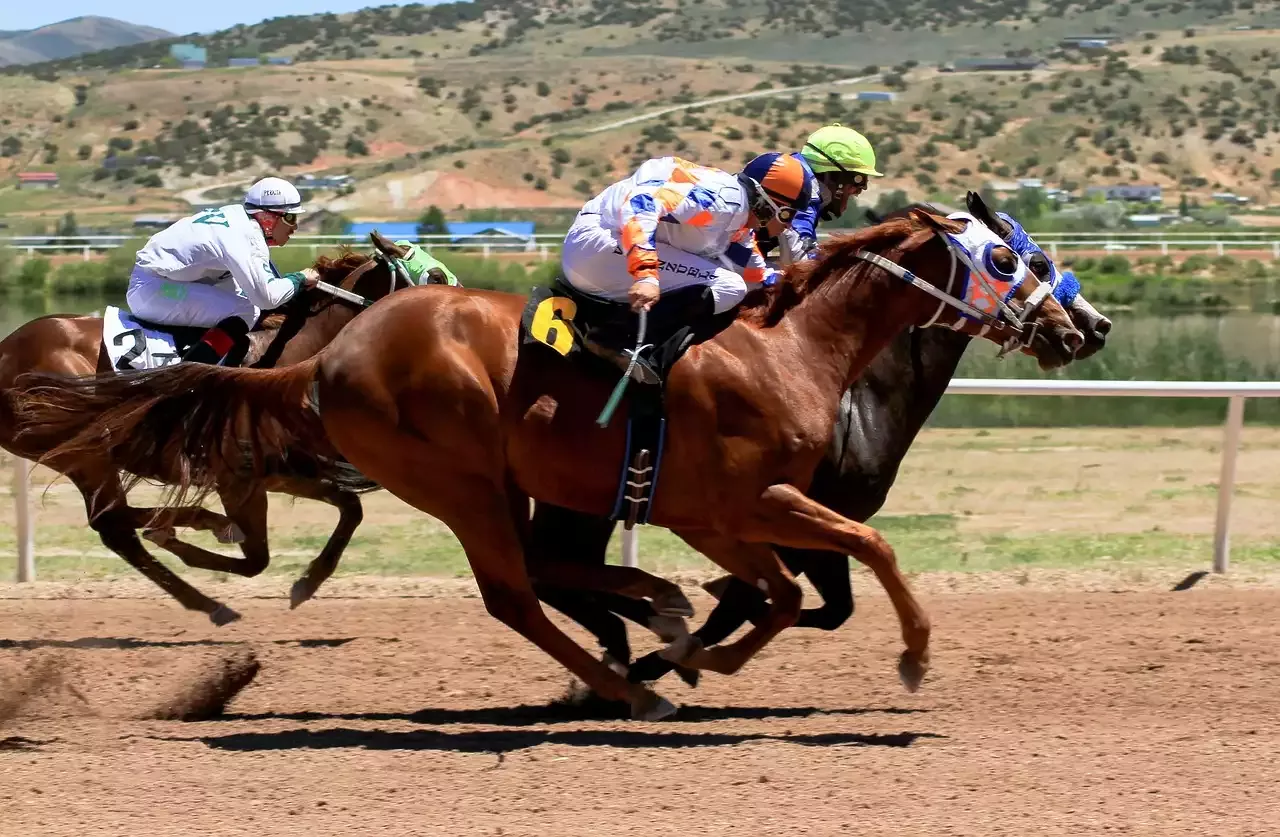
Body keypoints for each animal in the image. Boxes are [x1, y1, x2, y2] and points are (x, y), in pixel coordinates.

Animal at [0, 235, 412, 621]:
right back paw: (202, 547)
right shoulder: (236, 480)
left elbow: (350, 508)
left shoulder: (278, 472)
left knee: (116, 524)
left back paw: (199, 565)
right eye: (424, 274)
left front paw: (307, 582)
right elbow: (257, 558)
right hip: (85, 453)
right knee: (114, 523)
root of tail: (6, 348)